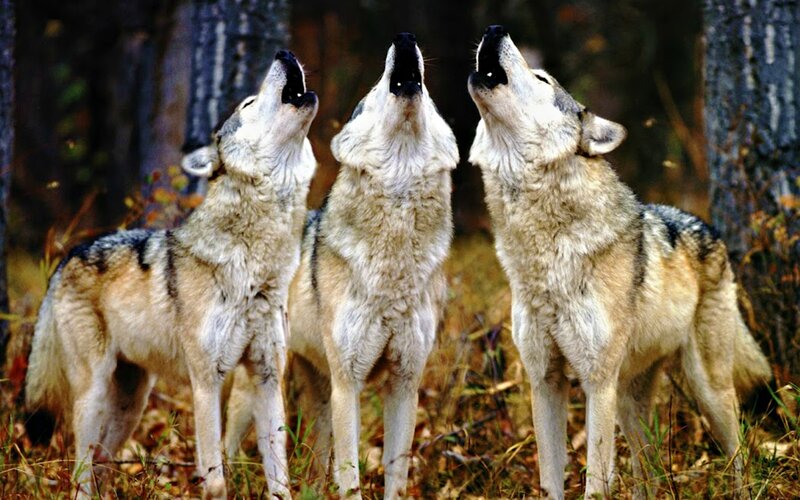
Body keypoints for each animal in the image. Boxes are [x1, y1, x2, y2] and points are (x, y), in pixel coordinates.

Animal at [24, 50, 318, 499]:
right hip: (92, 395)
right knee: (80, 473)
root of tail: (68, 255)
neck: (256, 268)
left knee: (102, 463)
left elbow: (279, 477)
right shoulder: (206, 382)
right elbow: (215, 479)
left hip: (132, 402)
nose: (284, 54)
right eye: (248, 103)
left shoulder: (267, 377)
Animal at [225, 33, 458, 499]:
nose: (404, 38)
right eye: (373, 91)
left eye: (431, 98)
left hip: (318, 392)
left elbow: (396, 476)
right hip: (262, 387)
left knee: (316, 463)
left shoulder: (405, 384)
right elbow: (350, 477)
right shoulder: (348, 384)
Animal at [467, 25, 772, 499]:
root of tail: (710, 228)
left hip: (707, 389)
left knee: (739, 454)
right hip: (631, 403)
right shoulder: (545, 381)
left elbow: (596, 482)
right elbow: (551, 480)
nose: (494, 30)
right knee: (651, 474)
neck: (544, 254)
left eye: (541, 78)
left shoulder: (598, 383)